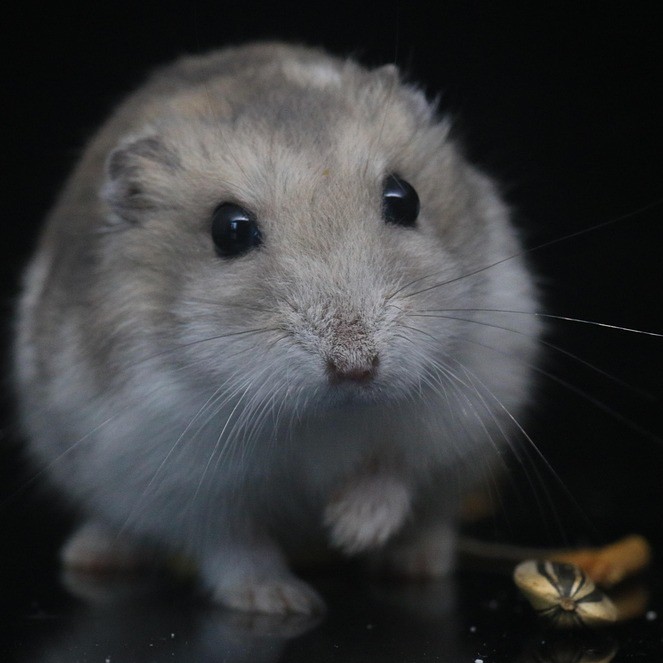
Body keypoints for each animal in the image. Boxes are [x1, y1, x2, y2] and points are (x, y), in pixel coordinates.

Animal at [13, 42, 541, 614]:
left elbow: (393, 469)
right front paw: (285, 603)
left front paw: (349, 530)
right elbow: (233, 545)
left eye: (405, 198)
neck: (326, 415)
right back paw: (92, 555)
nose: (356, 368)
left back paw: (413, 564)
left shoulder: (456, 411)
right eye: (229, 230)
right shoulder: (179, 476)